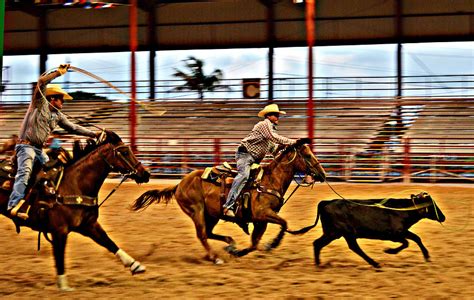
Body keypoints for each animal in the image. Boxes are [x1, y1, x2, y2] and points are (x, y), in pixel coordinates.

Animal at [0, 131, 149, 290]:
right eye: (125, 152)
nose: (146, 174)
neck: (74, 184)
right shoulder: (59, 231)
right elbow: (59, 256)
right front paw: (64, 286)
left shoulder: (89, 225)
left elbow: (109, 242)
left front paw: (135, 265)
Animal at [132, 137, 326, 264]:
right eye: (308, 156)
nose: (322, 174)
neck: (270, 180)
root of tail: (179, 184)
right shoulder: (263, 214)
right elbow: (284, 224)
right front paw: (272, 244)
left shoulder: (261, 221)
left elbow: (255, 243)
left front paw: (239, 252)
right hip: (197, 211)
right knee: (202, 235)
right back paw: (215, 257)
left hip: (212, 215)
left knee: (209, 233)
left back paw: (230, 245)